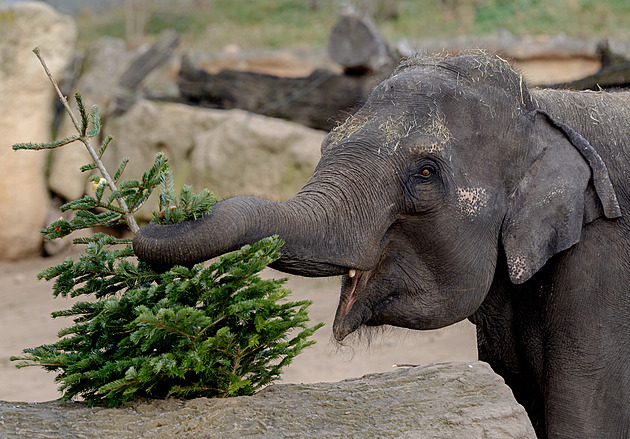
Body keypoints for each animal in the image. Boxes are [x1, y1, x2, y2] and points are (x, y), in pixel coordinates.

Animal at [136, 55, 630, 439]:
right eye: (325, 144)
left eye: (426, 172)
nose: (162, 213)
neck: (544, 108)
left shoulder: (602, 272)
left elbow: (584, 421)